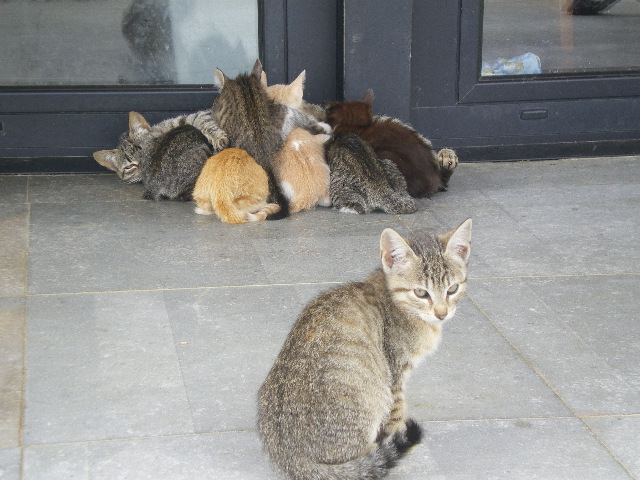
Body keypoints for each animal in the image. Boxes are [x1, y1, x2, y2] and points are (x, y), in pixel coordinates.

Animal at [258, 220, 472, 480]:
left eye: (452, 288)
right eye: (421, 292)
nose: (442, 313)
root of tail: (290, 458)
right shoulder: (395, 374)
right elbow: (398, 412)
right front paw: (398, 437)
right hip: (371, 397)